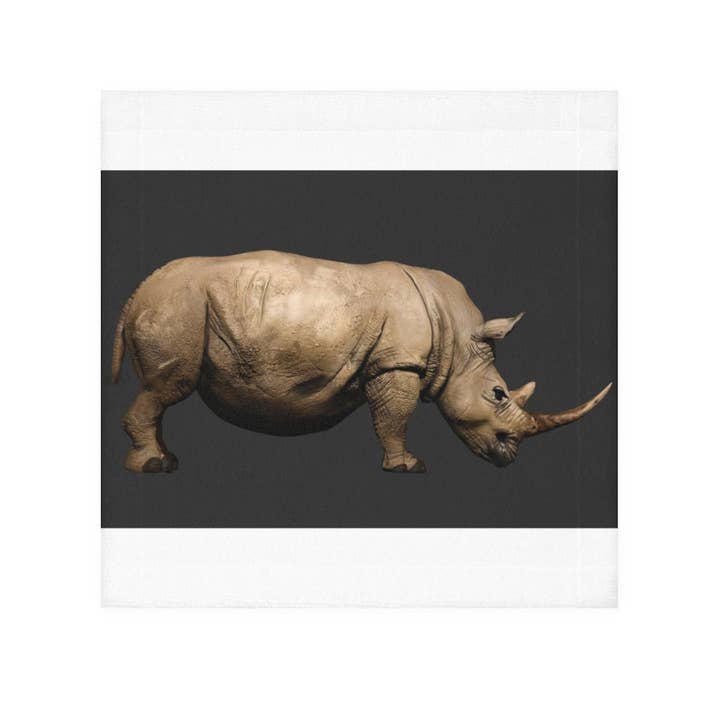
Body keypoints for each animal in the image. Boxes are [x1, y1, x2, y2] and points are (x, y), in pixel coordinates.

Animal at [111, 250, 611, 473]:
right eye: (498, 394)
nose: (509, 457)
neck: (457, 340)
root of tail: (136, 294)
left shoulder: (392, 362)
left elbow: (389, 417)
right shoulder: (398, 363)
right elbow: (395, 418)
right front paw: (408, 467)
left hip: (180, 305)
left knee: (160, 391)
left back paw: (164, 459)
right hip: (178, 307)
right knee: (167, 387)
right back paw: (154, 467)